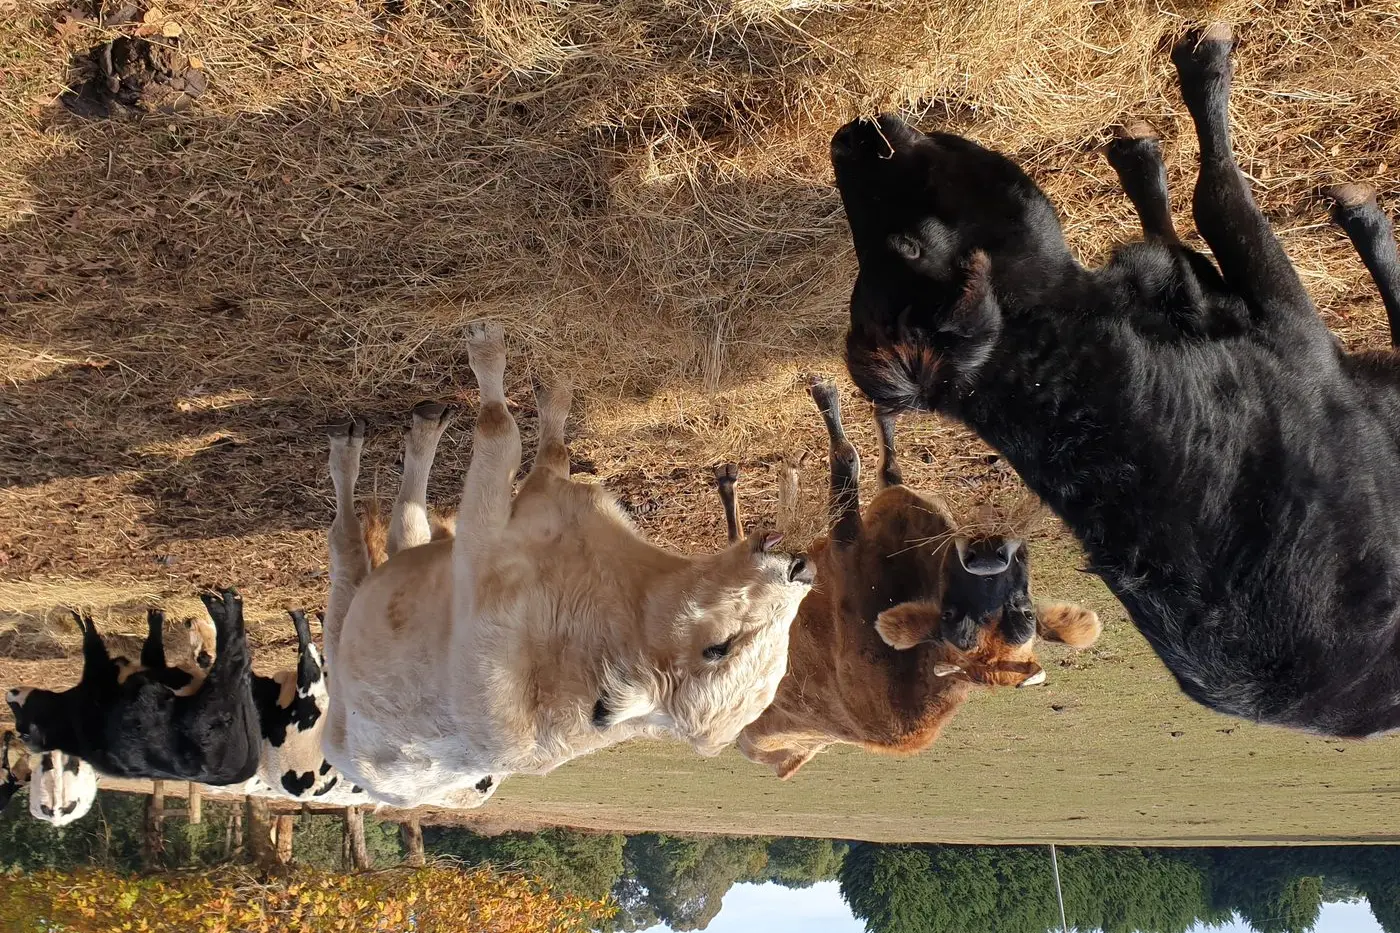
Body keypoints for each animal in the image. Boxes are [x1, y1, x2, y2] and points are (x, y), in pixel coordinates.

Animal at [6, 589, 261, 784]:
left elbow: (145, 651)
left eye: (22, 723)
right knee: (234, 656)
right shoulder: (105, 679)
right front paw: (83, 619)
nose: (9, 693)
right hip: (210, 707)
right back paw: (224, 609)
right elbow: (95, 648)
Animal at [319, 323, 815, 809]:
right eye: (720, 648)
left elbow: (498, 427)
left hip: (346, 619)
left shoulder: (480, 546)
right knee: (403, 527)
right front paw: (554, 394)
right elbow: (551, 450)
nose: (803, 571)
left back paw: (358, 447)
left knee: (352, 536)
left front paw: (487, 349)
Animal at [727, 378, 1100, 779]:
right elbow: (883, 468)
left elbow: (849, 456)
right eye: (1025, 613)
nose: (989, 559)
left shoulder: (845, 547)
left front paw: (827, 393)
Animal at [829, 23, 1400, 737]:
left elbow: (1180, 233)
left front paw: (1139, 159)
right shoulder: (1297, 337)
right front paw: (1204, 64)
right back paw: (1362, 221)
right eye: (909, 243)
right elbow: (1218, 198)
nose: (846, 138)